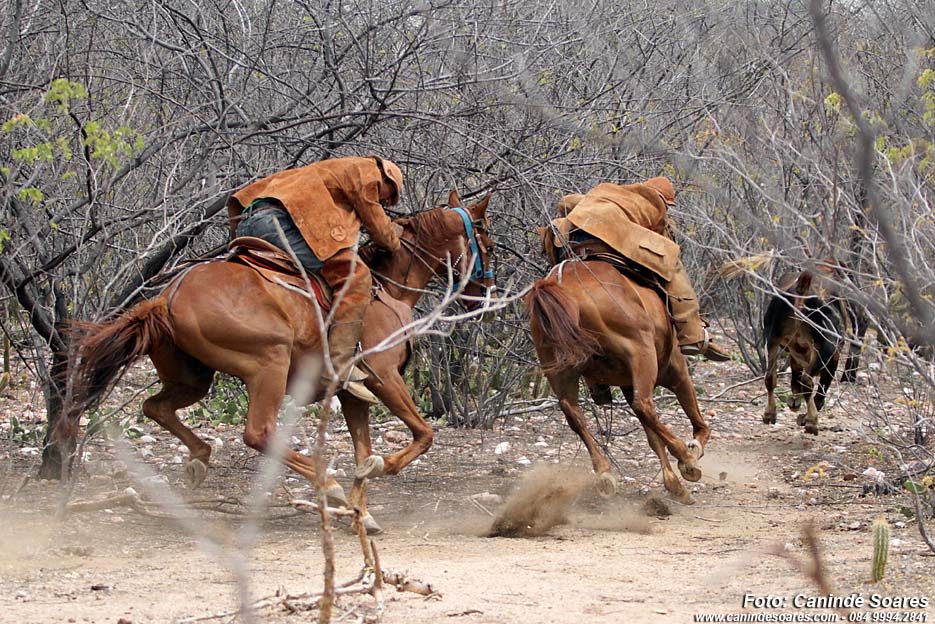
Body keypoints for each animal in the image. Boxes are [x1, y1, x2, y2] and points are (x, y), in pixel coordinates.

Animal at [66, 189, 498, 532]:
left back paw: (200, 461)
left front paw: (362, 513)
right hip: (268, 367)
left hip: (193, 380)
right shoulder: (383, 378)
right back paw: (327, 485)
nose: (485, 292)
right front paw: (373, 474)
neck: (386, 289)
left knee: (156, 407)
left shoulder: (352, 395)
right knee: (258, 434)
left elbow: (362, 449)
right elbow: (422, 436)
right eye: (488, 244)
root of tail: (164, 299)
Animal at [528, 260, 708, 508]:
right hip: (642, 354)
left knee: (573, 413)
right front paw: (690, 458)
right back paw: (684, 455)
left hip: (558, 370)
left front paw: (674, 484)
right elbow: (697, 421)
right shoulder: (676, 372)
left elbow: (653, 437)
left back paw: (604, 474)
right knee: (645, 405)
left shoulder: (627, 384)